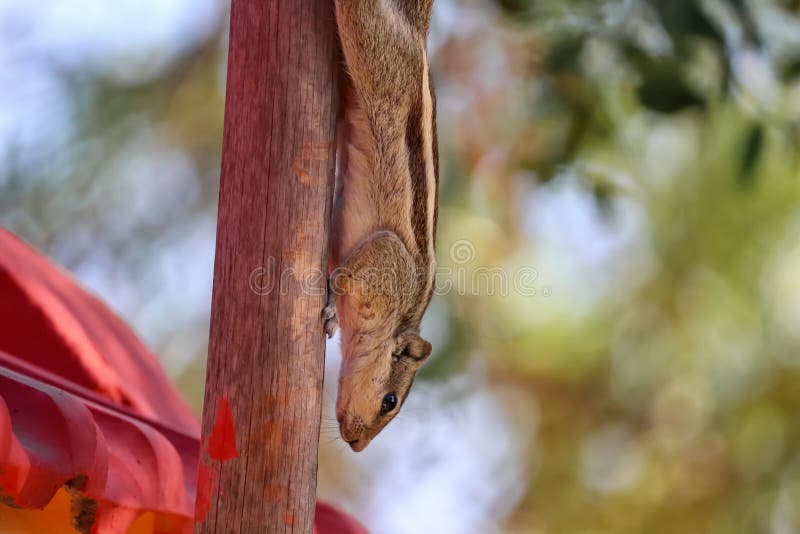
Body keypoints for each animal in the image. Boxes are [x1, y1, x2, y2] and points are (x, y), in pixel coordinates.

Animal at [323, 0, 438, 452]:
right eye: (389, 401)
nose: (357, 445)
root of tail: (419, 37)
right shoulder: (388, 261)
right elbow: (345, 274)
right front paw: (330, 302)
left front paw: (333, 318)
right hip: (375, 54)